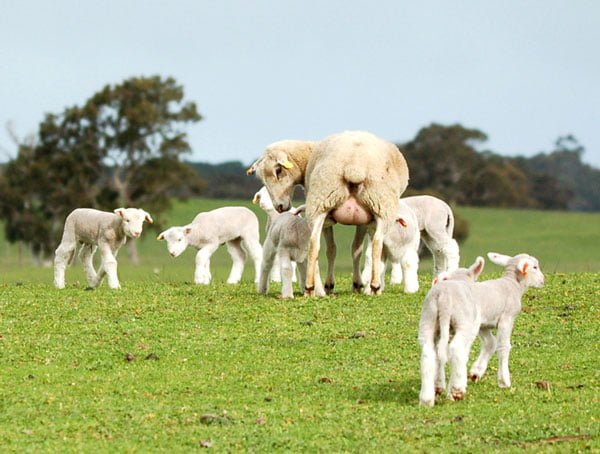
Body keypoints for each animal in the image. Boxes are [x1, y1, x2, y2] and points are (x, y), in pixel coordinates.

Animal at [246, 129, 410, 296]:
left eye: (278, 171)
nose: (279, 206)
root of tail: (354, 167)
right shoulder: (360, 219)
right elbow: (342, 250)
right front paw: (348, 284)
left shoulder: (362, 220)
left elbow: (353, 250)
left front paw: (356, 284)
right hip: (373, 205)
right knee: (375, 244)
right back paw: (373, 286)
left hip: (335, 203)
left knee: (315, 243)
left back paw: (311, 288)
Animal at [418, 255, 488, 408]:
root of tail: (444, 297)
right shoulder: (471, 331)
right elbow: (463, 354)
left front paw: (439, 386)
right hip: (462, 324)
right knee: (456, 349)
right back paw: (457, 390)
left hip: (428, 320)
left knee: (428, 355)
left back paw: (427, 399)